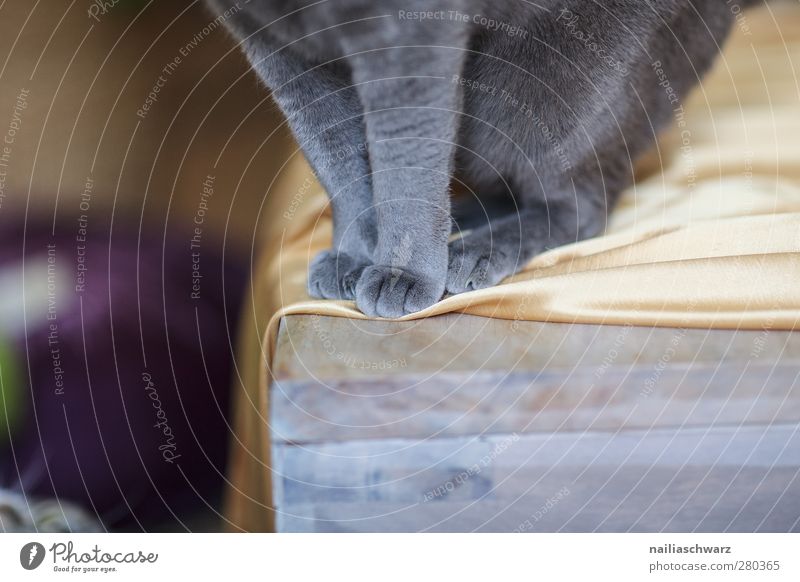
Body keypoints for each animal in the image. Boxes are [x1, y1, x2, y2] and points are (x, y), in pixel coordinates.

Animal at [208, 1, 756, 320]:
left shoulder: (409, 36)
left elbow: (404, 157)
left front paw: (402, 273)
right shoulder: (271, 42)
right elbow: (333, 152)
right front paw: (354, 253)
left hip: (548, 84)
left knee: (582, 202)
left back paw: (476, 249)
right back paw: (464, 224)